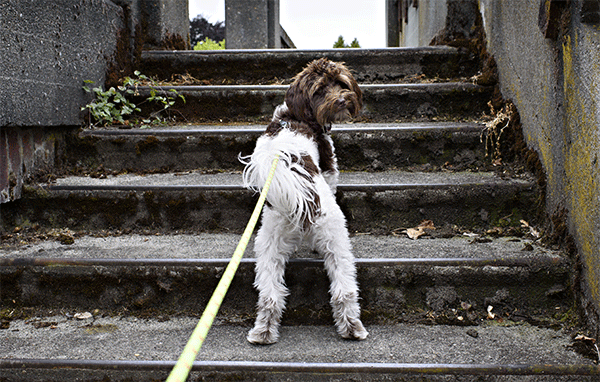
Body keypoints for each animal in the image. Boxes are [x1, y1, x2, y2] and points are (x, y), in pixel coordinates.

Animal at [241, 58, 368, 344]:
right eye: (320, 90)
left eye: (340, 83)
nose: (342, 99)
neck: (294, 116)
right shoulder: (330, 166)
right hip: (335, 235)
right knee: (344, 288)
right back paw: (353, 328)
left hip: (269, 243)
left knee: (270, 294)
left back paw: (263, 332)